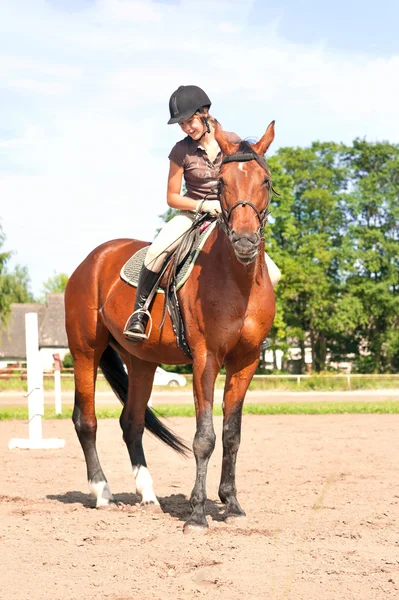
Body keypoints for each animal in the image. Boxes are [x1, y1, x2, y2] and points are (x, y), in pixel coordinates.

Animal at [65, 122, 278, 536]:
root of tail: (92, 259)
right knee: (86, 420)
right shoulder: (205, 360)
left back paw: (148, 496)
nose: (245, 240)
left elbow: (232, 434)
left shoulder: (246, 362)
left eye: (265, 180)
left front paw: (232, 504)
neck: (236, 278)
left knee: (131, 423)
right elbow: (205, 437)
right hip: (85, 351)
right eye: (222, 182)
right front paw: (197, 514)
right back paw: (103, 492)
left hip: (141, 361)